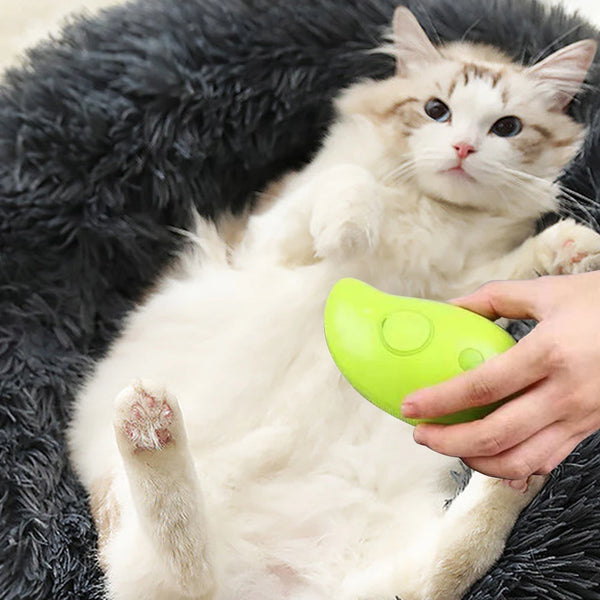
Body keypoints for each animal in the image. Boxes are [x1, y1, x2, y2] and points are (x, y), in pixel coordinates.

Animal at [68, 8, 600, 600]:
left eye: (506, 127)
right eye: (436, 110)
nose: (463, 149)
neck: (434, 213)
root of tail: (259, 587)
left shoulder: (454, 288)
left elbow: (507, 270)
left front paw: (573, 247)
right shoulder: (266, 237)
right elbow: (348, 182)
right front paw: (351, 223)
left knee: (446, 562)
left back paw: (519, 474)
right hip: (135, 535)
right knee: (180, 555)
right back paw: (148, 423)